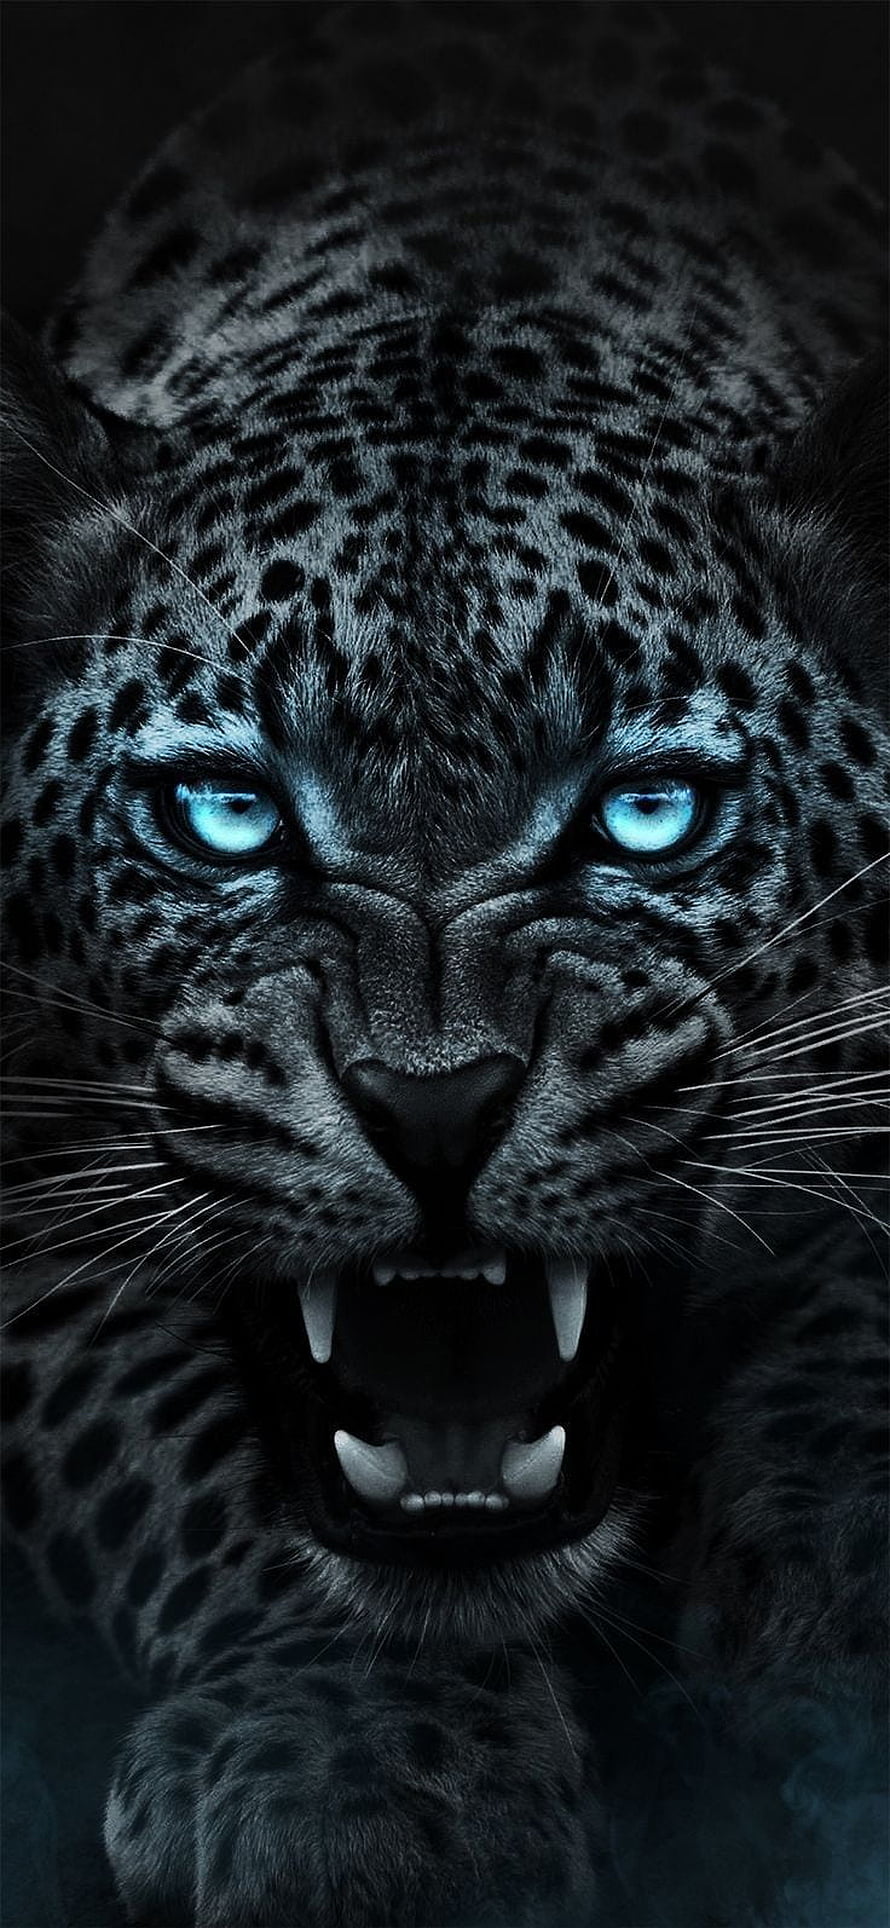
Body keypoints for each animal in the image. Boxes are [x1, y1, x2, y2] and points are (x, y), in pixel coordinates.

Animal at [2, 4, 888, 1925]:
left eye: (645, 812)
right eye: (224, 814)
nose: (432, 1106)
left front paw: (839, 1590)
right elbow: (162, 1426)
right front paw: (366, 1766)